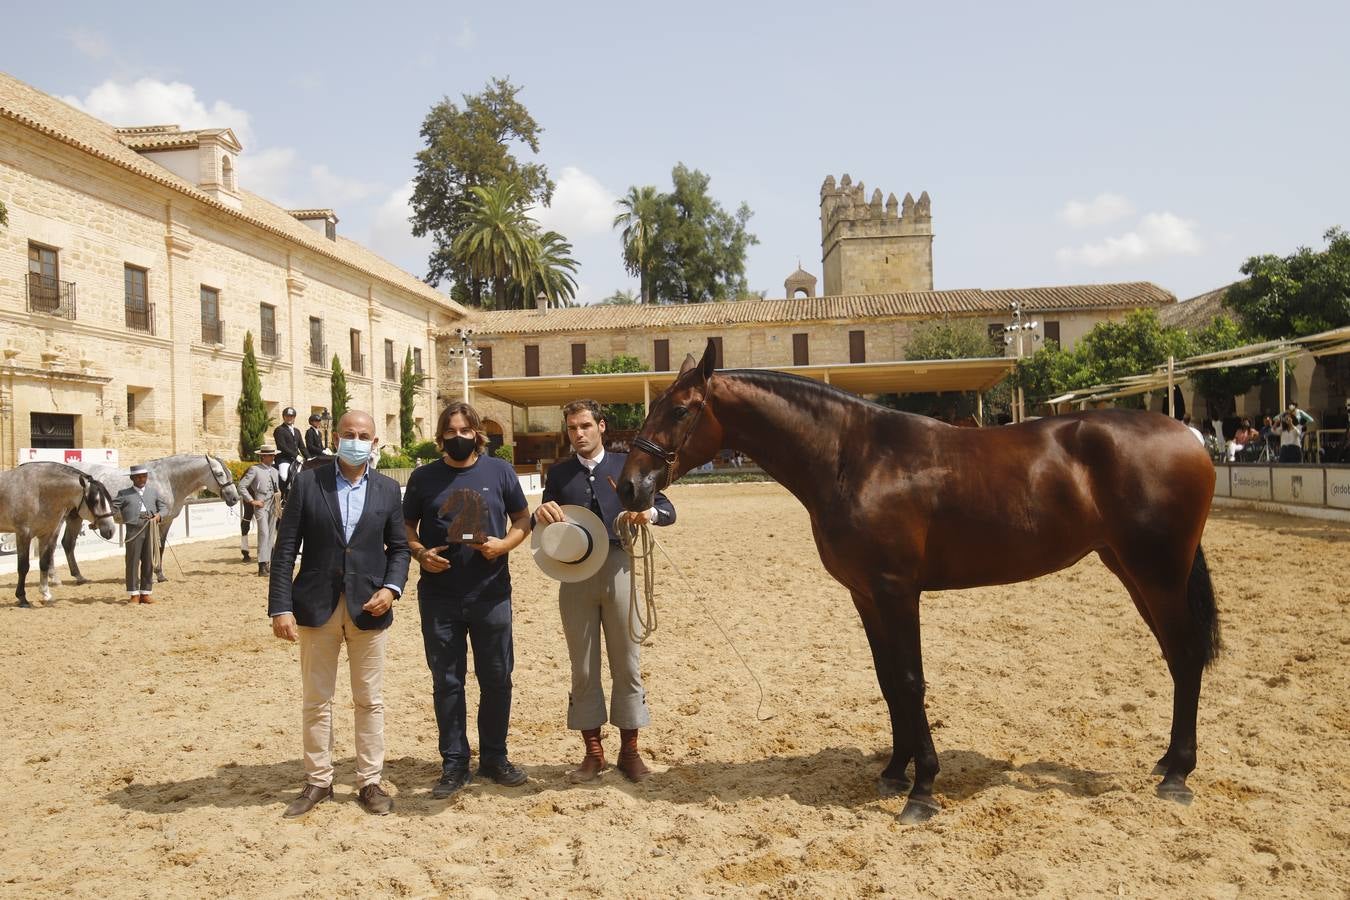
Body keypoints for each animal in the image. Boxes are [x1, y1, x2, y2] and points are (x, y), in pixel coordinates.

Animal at [0, 464, 117, 604]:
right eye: (95, 500)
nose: (111, 530)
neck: (38, 492)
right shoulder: (23, 535)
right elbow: (23, 567)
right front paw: (22, 598)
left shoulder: (46, 534)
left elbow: (44, 563)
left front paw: (46, 594)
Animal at [63, 453, 241, 588]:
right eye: (219, 474)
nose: (235, 498)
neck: (167, 479)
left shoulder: (166, 521)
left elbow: (160, 546)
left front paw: (160, 575)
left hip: (75, 518)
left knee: (67, 543)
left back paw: (78, 577)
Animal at [621, 340, 1225, 825]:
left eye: (680, 409)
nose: (629, 488)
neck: (855, 458)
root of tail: (1189, 435)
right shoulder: (866, 596)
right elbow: (889, 682)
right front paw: (894, 771)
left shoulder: (897, 592)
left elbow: (911, 681)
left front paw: (923, 790)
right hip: (1130, 569)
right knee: (1178, 657)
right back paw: (1167, 763)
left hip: (1158, 572)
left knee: (1186, 654)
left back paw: (1178, 777)